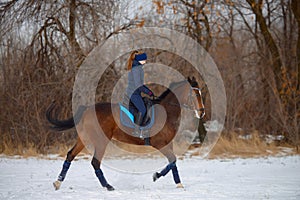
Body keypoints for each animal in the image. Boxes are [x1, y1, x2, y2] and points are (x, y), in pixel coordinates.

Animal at [47, 76, 205, 191]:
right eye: (194, 94)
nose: (202, 112)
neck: (166, 112)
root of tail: (87, 109)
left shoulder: (168, 143)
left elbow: (173, 162)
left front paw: (178, 183)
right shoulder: (159, 144)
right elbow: (173, 160)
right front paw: (156, 176)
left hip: (85, 138)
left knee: (71, 155)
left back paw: (57, 183)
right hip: (101, 140)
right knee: (95, 162)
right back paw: (108, 186)